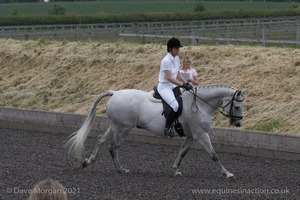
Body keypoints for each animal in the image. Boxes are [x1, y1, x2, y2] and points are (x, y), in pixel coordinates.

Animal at [65, 83, 246, 177]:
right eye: (237, 106)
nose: (237, 124)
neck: (200, 105)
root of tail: (115, 93)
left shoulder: (191, 136)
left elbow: (182, 153)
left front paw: (176, 169)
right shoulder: (201, 135)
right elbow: (213, 155)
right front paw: (227, 173)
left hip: (115, 126)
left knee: (101, 140)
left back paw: (88, 162)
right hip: (123, 128)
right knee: (113, 147)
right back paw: (121, 169)